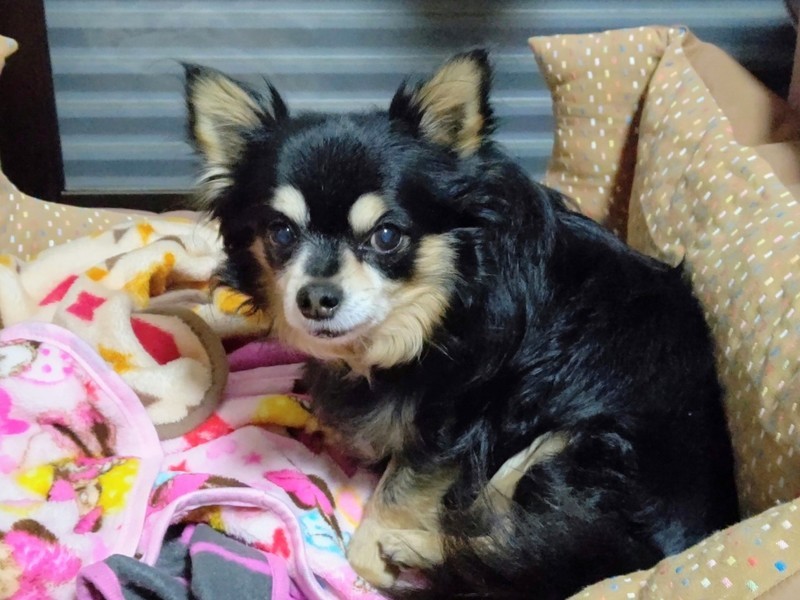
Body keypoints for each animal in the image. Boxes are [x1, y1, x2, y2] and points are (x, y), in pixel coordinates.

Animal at [183, 50, 739, 599]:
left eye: (387, 236)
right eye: (280, 232)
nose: (316, 298)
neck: (438, 311)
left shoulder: (457, 421)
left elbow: (399, 493)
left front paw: (375, 551)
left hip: (566, 448)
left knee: (504, 554)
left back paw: (410, 551)